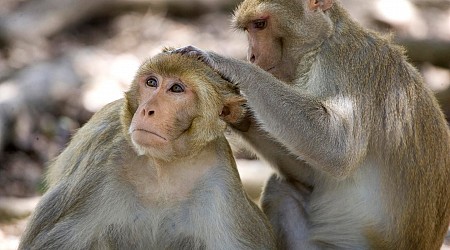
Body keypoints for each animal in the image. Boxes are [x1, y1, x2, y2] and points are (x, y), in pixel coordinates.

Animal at [19, 52, 278, 250]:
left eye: (176, 88)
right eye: (152, 83)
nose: (146, 110)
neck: (164, 166)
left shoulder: (221, 184)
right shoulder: (102, 160)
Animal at [171, 0, 450, 248]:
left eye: (259, 24)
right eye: (249, 28)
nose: (251, 56)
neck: (321, 45)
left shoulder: (346, 64)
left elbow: (337, 148)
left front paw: (227, 65)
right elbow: (310, 173)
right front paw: (235, 113)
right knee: (280, 190)